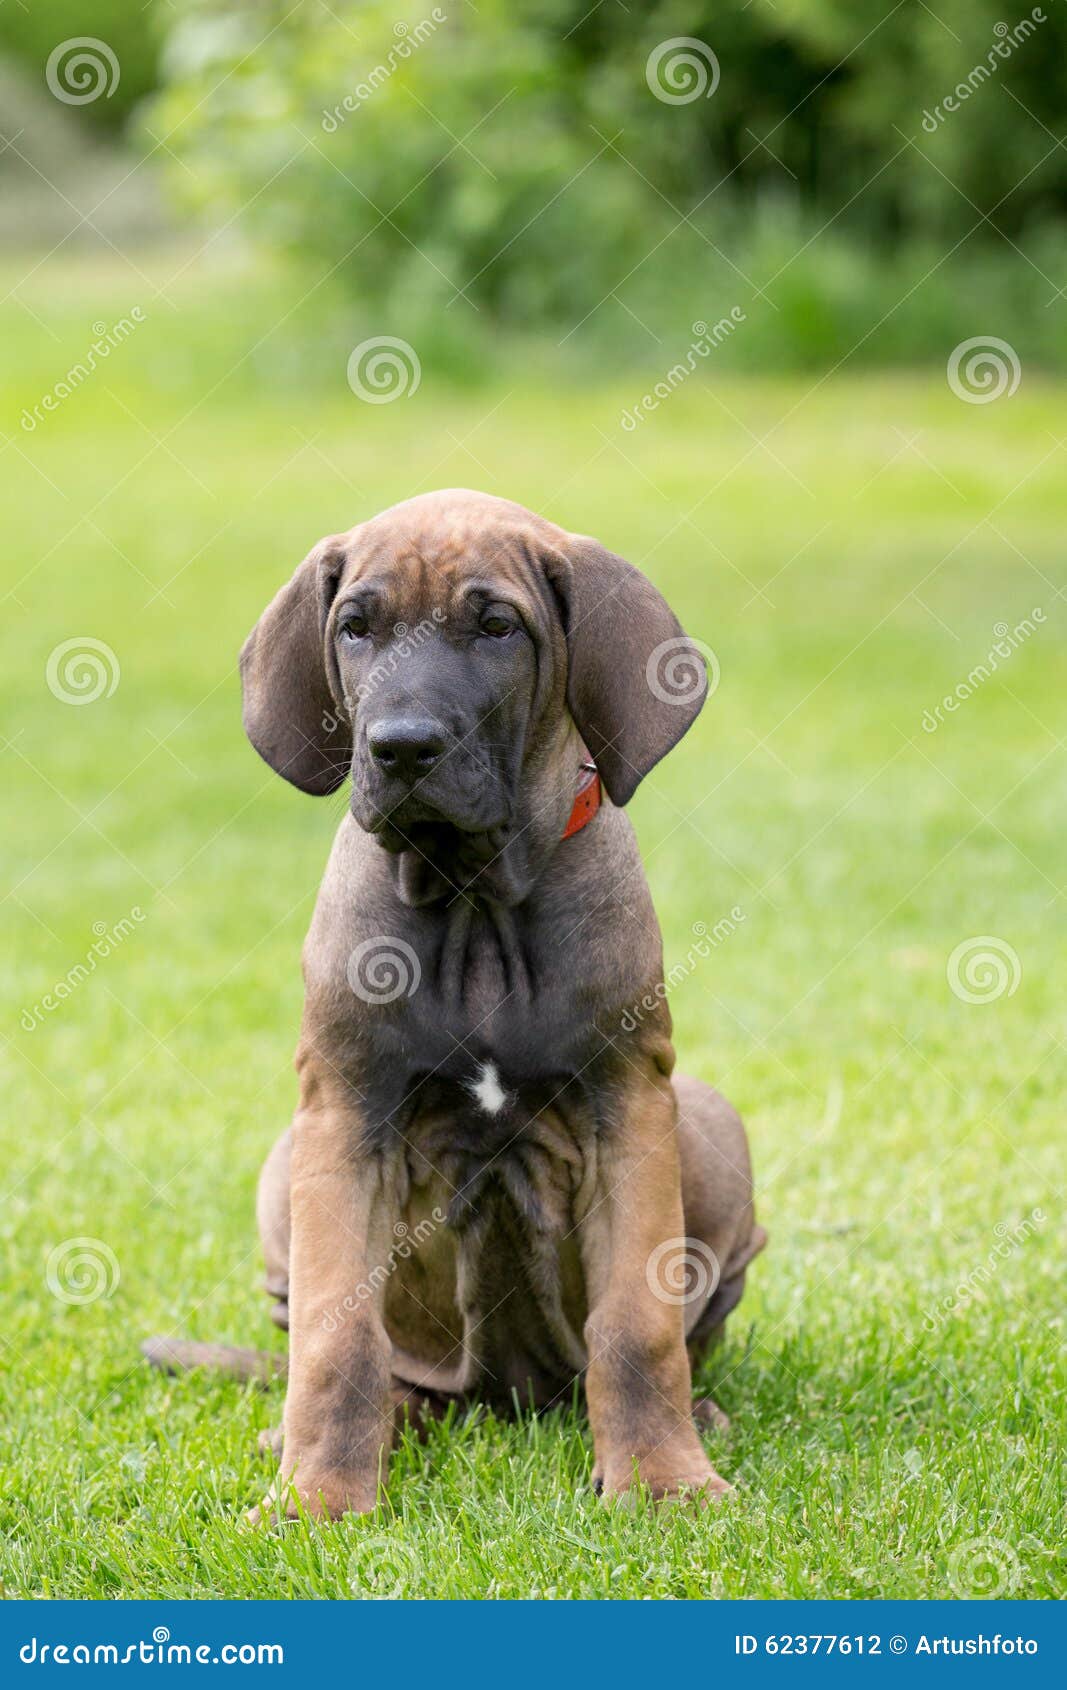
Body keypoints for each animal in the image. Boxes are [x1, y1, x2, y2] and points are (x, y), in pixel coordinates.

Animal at [152, 490, 767, 1521]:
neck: (473, 896)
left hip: (712, 1130)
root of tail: (504, 1399)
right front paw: (317, 1500)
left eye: (496, 627)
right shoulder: (344, 1119)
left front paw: (662, 1482)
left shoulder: (630, 1111)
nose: (401, 747)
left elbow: (636, 1331)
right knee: (364, 1359)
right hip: (284, 1171)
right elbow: (334, 1343)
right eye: (355, 627)